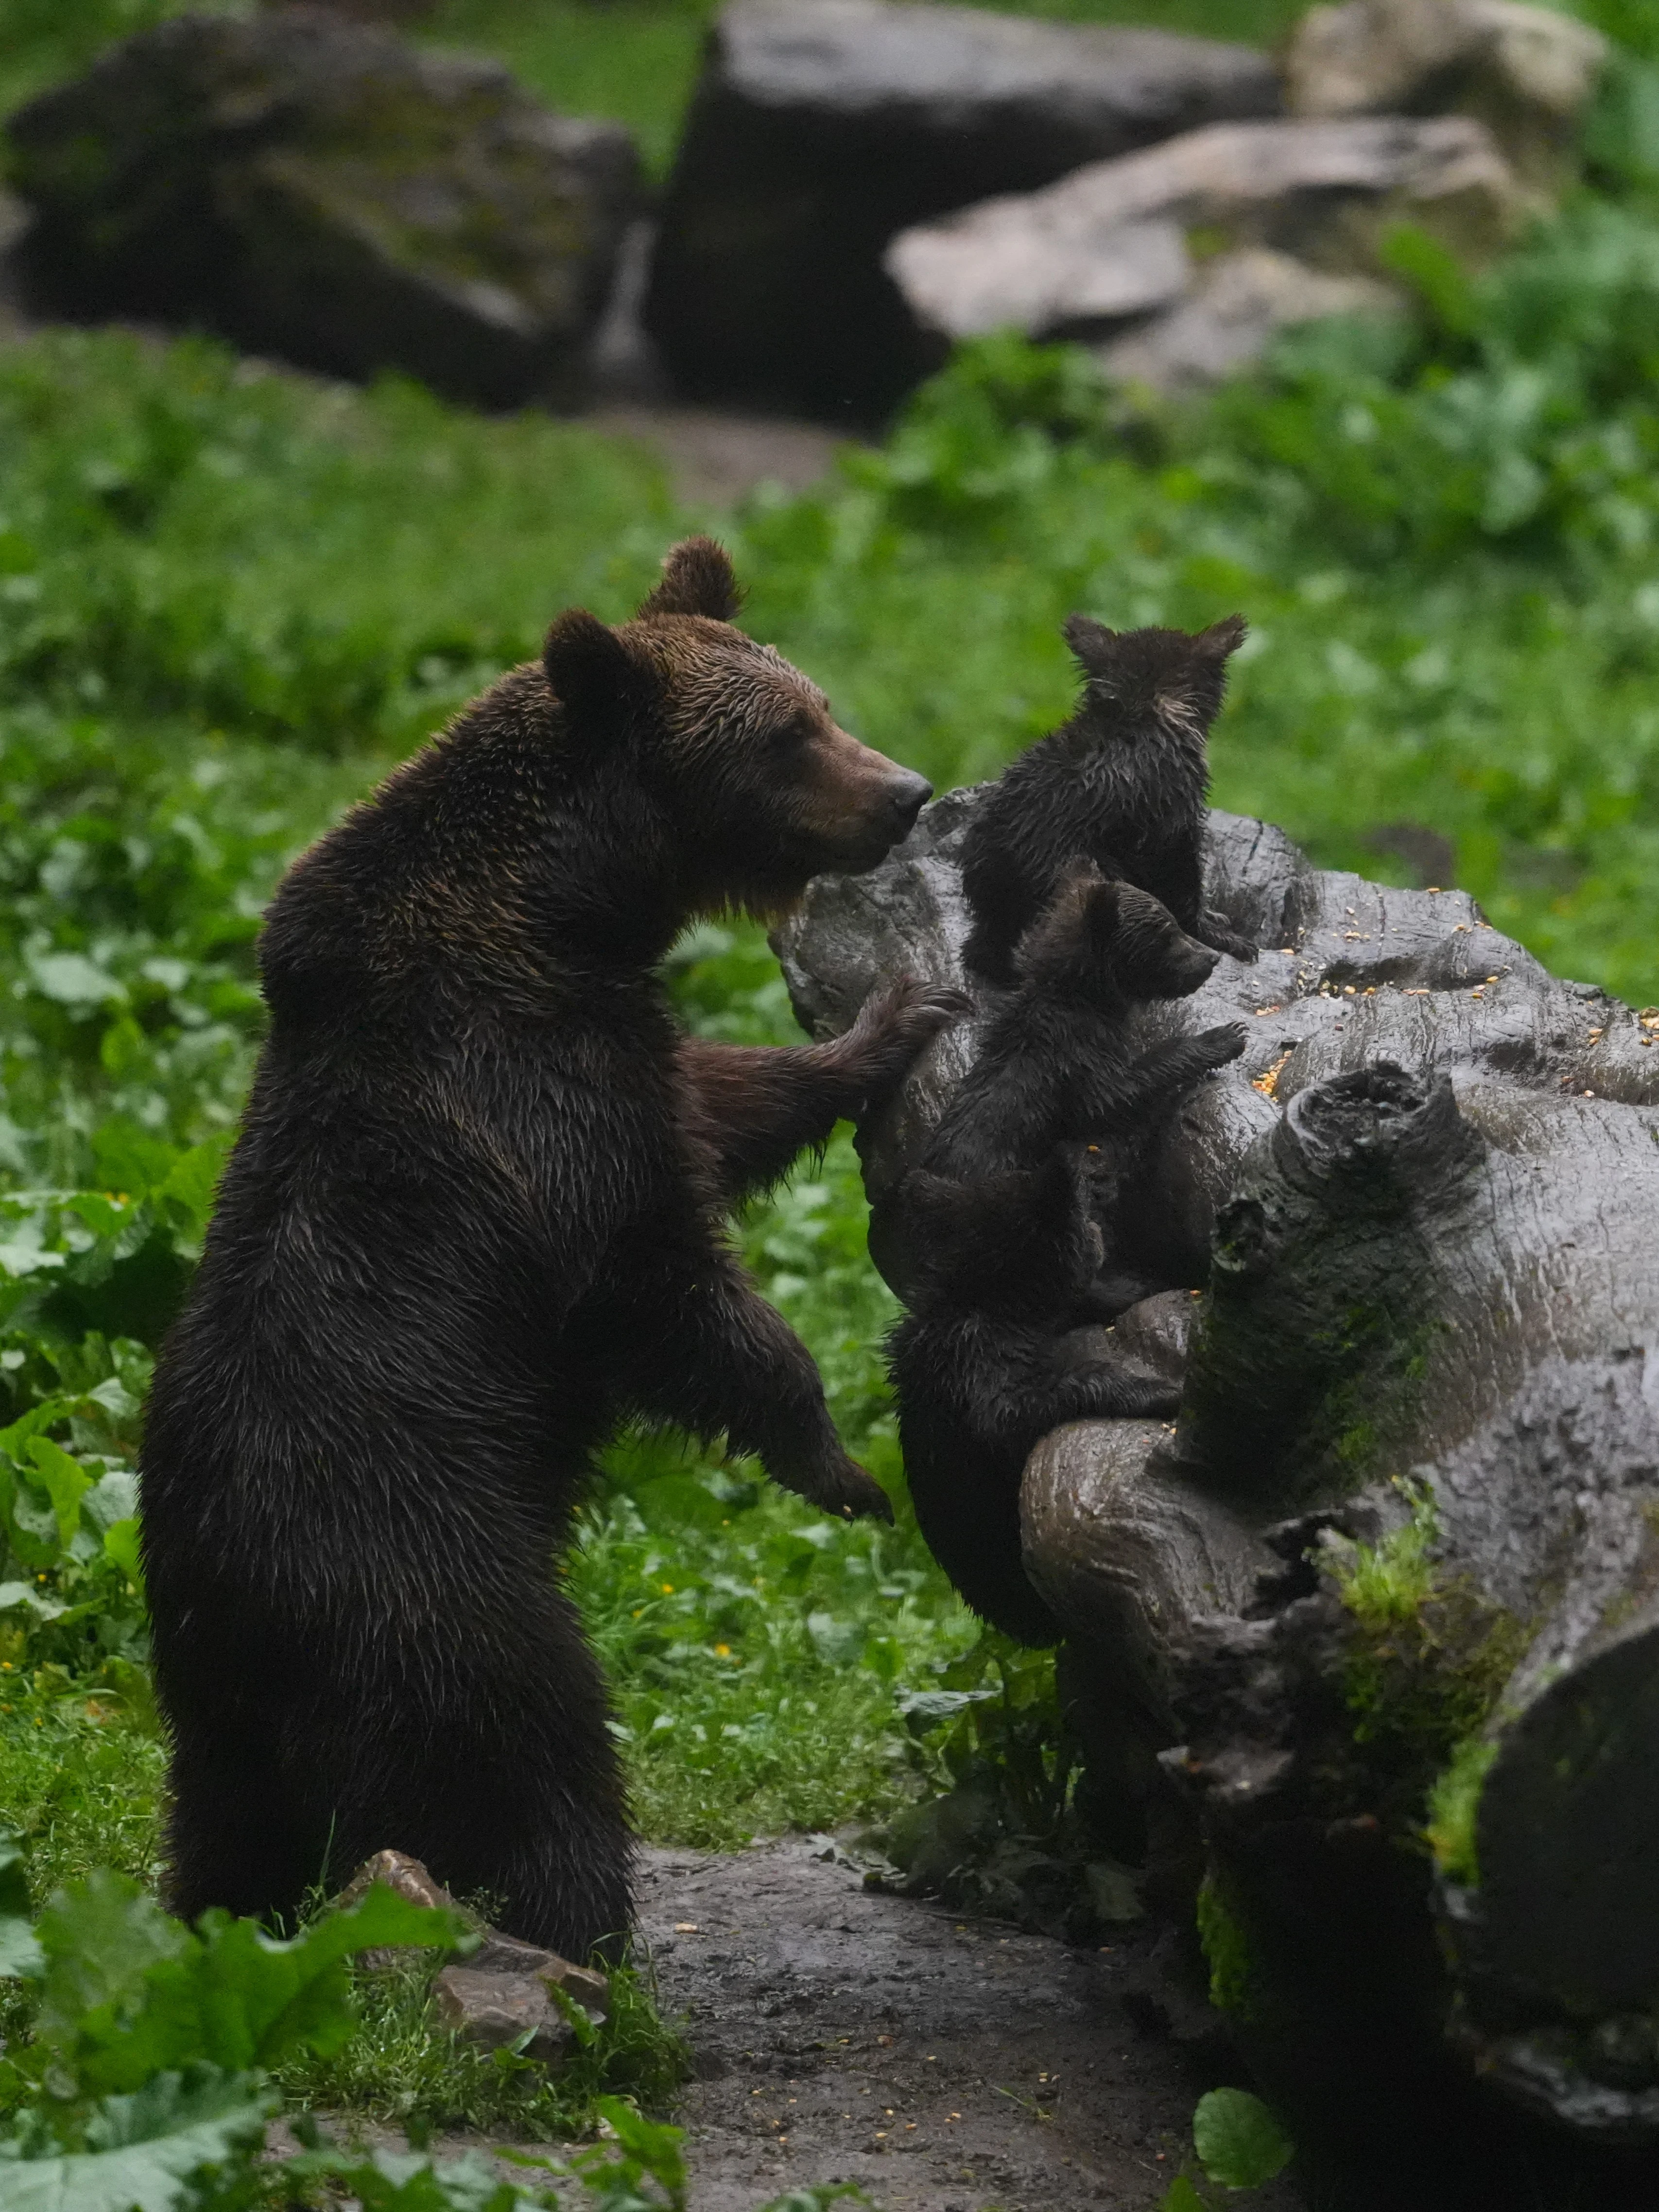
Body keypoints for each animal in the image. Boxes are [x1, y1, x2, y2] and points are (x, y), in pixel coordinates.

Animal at [138, 535, 964, 1958]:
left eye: (813, 698)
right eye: (786, 735)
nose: (903, 792)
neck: (560, 911)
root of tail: (236, 1602)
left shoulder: (614, 1046)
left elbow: (720, 1103)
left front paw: (890, 1022)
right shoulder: (530, 1110)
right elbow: (667, 1286)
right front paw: (842, 1467)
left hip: (208, 1685)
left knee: (229, 1830)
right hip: (426, 1559)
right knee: (530, 1734)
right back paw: (585, 1929)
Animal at [887, 1147, 1182, 1647]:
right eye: (1082, 1214)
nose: (1098, 1224)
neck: (987, 1295)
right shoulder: (980, 1367)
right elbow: (1024, 1407)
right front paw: (1160, 1392)